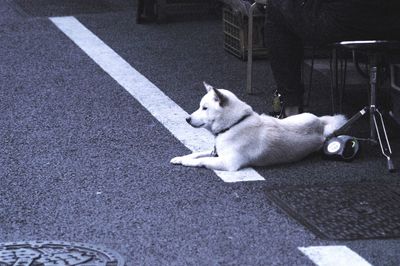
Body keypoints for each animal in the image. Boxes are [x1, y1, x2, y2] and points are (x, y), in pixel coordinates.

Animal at [170, 82, 346, 171]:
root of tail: (321, 125)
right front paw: (181, 158)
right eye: (200, 106)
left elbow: (202, 160)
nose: (187, 119)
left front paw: (187, 163)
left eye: (204, 108)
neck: (235, 124)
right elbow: (198, 154)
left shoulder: (229, 163)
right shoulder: (217, 151)